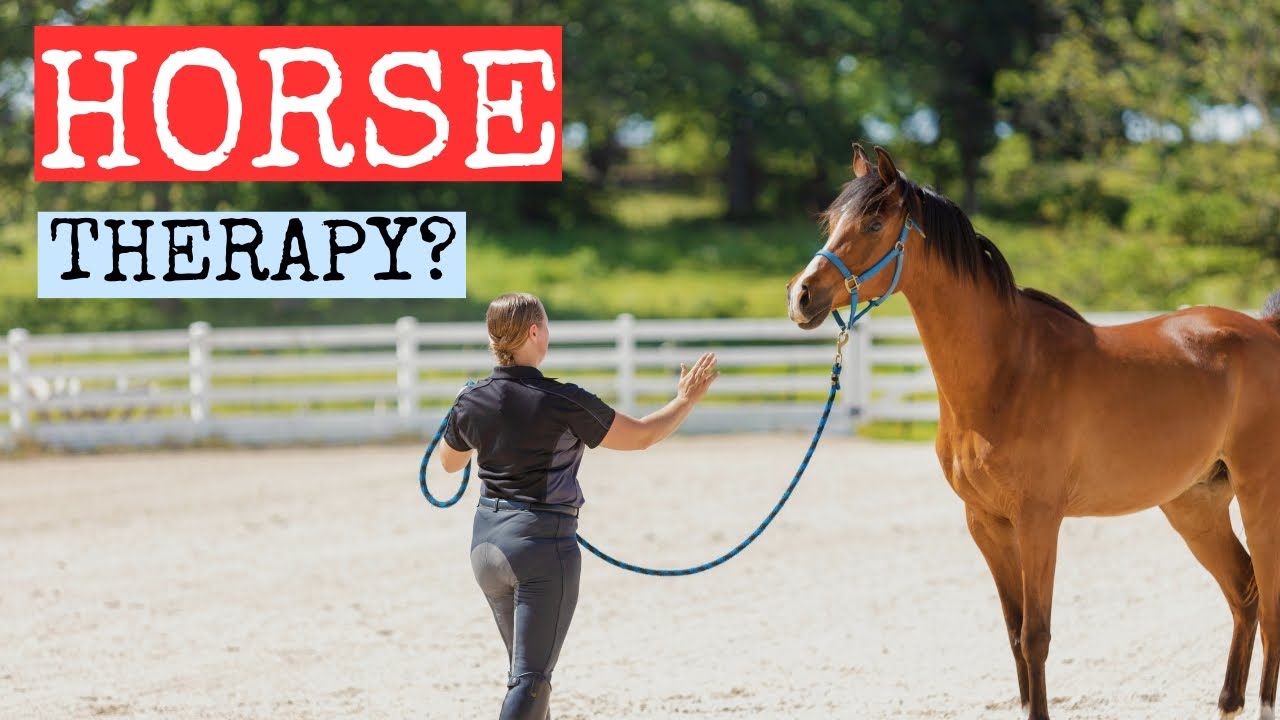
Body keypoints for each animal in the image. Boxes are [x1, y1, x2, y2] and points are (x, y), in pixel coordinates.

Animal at [786, 143, 1280, 720]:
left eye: (872, 221)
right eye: (831, 220)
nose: (801, 296)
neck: (1007, 371)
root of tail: (1265, 331)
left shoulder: (1039, 520)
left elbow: (1036, 636)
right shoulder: (986, 523)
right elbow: (1014, 632)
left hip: (1259, 496)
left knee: (1269, 603)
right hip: (1194, 505)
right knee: (1244, 592)